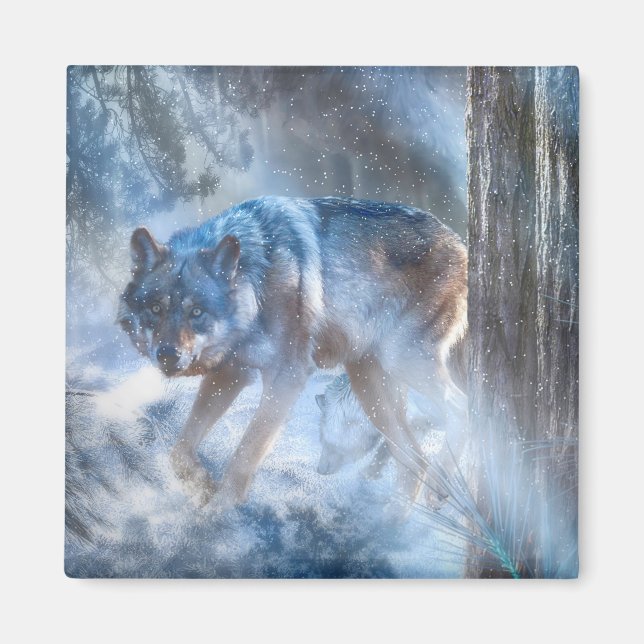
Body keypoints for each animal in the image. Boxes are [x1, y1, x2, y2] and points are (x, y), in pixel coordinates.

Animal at [118, 196, 467, 512]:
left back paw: (435, 489)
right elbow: (179, 450)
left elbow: (246, 450)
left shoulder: (287, 377)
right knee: (413, 460)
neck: (256, 281)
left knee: (464, 411)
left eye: (197, 312)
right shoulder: (231, 373)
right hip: (370, 386)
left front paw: (219, 509)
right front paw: (203, 486)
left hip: (402, 361)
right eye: (156, 308)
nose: (167, 355)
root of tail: (460, 244)